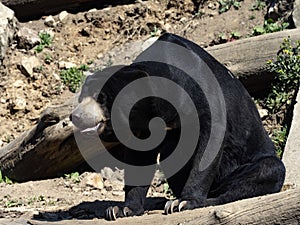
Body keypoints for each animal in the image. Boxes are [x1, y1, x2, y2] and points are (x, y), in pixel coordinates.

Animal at [71, 33, 286, 220]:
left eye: (101, 97)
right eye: (82, 97)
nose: (75, 116)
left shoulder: (204, 94)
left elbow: (211, 140)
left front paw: (184, 202)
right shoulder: (143, 127)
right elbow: (138, 158)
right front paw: (121, 209)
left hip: (255, 161)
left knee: (268, 169)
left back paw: (206, 199)